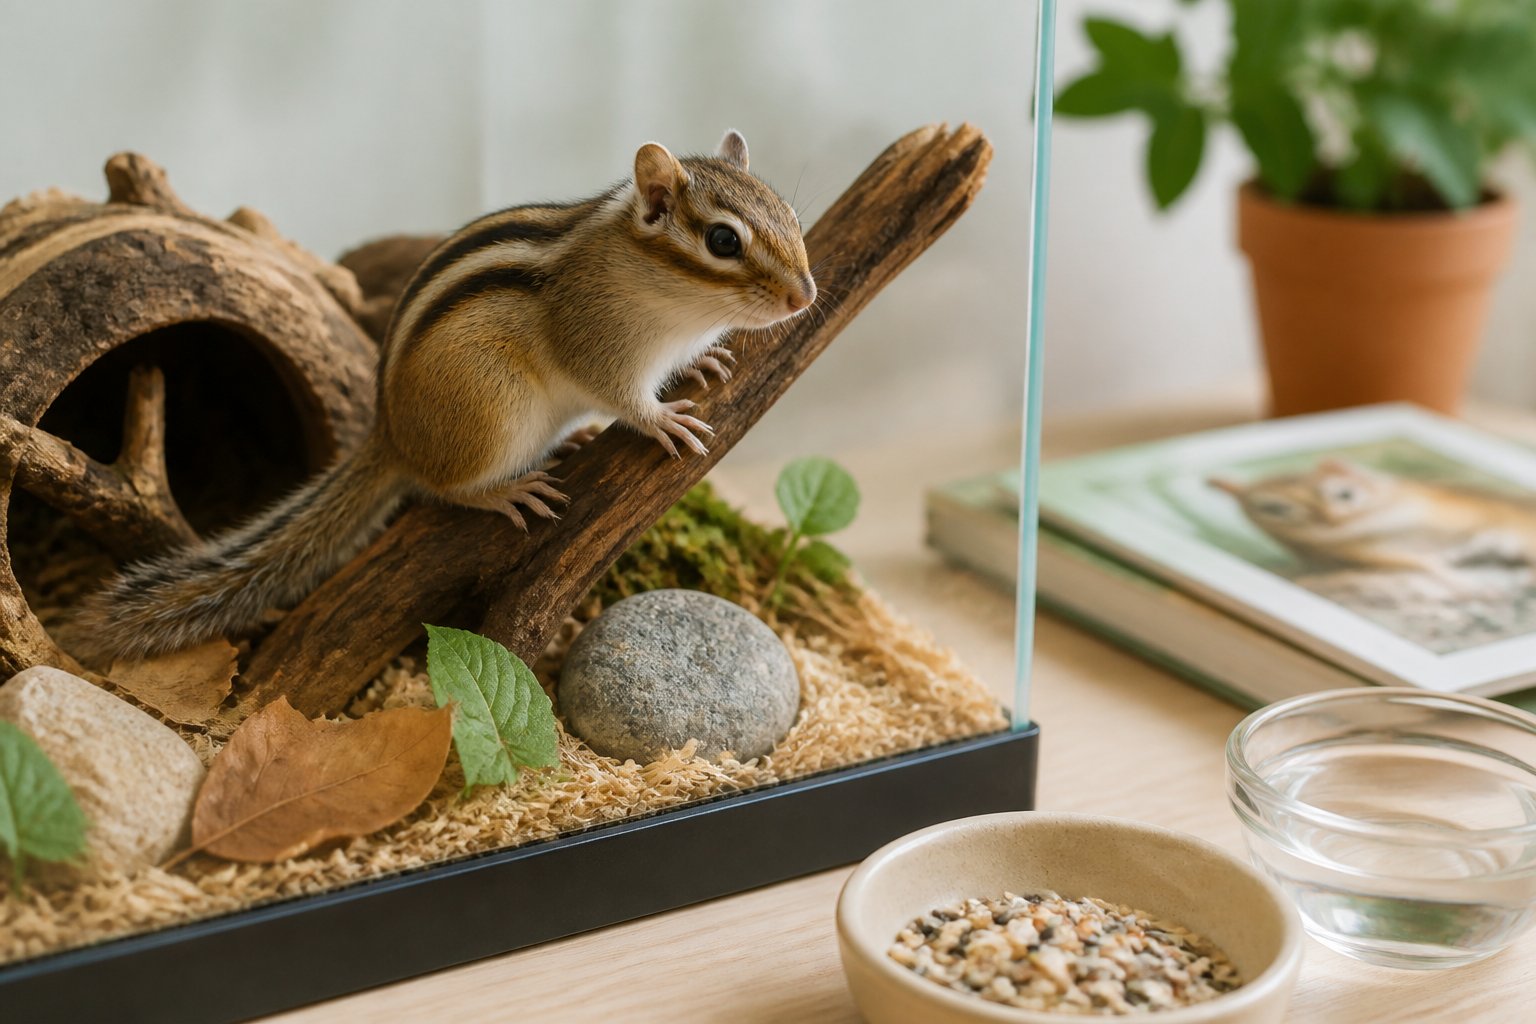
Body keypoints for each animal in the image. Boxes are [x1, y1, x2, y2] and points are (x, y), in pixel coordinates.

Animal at [72, 130, 816, 661]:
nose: (804, 296)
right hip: (494, 413)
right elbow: (622, 397)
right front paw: (661, 419)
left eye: (789, 214)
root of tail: (391, 434)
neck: (664, 294)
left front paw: (706, 363)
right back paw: (506, 490)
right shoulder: (596, 344)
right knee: (440, 487)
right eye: (722, 240)